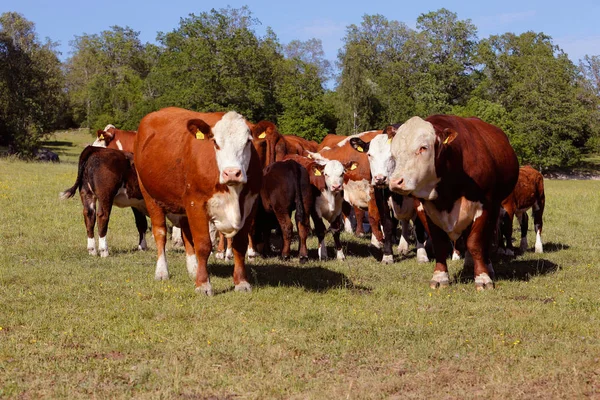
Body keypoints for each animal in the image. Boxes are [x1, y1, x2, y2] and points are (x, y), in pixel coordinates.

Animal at [135, 108, 262, 296]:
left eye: (247, 141)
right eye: (215, 142)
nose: (232, 173)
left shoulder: (250, 205)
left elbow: (240, 244)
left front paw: (241, 282)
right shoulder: (196, 203)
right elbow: (202, 245)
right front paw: (203, 284)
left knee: (186, 234)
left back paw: (193, 268)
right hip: (150, 196)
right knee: (160, 233)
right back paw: (162, 271)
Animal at [350, 133, 428, 264]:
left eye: (392, 155)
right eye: (369, 154)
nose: (380, 178)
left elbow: (419, 226)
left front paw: (422, 254)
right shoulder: (381, 199)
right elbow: (387, 225)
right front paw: (387, 255)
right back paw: (403, 246)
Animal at [390, 115, 520, 290]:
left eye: (423, 148)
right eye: (394, 152)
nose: (396, 182)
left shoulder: (484, 206)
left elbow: (475, 242)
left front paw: (482, 278)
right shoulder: (424, 208)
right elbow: (439, 243)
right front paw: (440, 276)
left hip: (495, 208)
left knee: (484, 241)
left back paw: (487, 266)